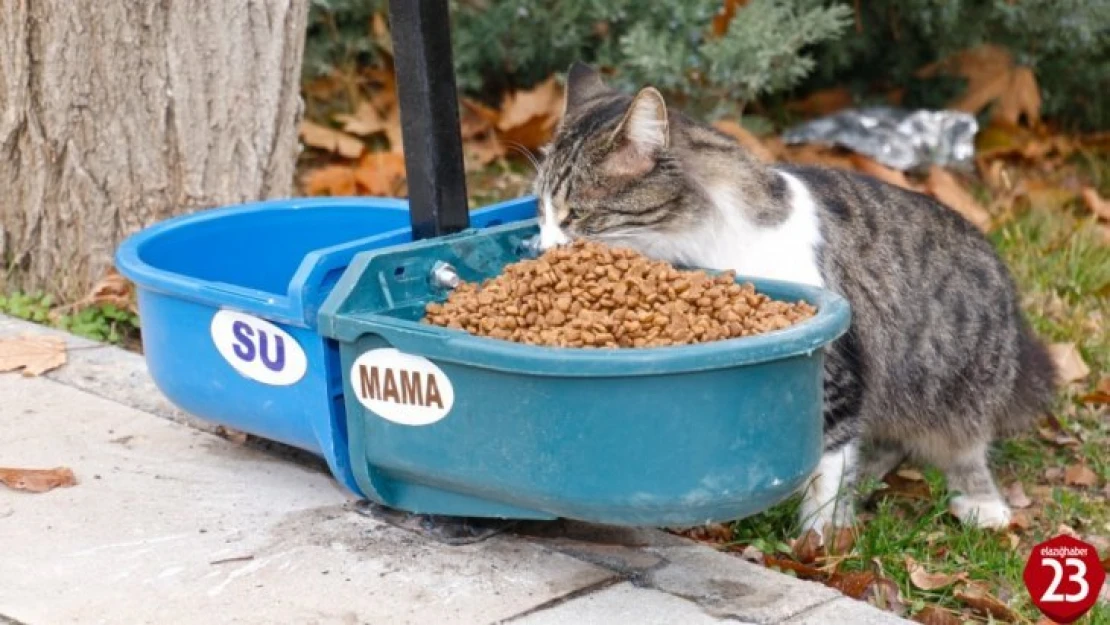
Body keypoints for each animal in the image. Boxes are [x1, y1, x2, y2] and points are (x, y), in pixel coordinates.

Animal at [532, 61, 1052, 535]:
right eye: (539, 210)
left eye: (575, 215)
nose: (542, 248)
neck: (704, 242)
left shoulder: (839, 371)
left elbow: (827, 466)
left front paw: (821, 541)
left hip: (958, 383)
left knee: (965, 445)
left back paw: (983, 505)